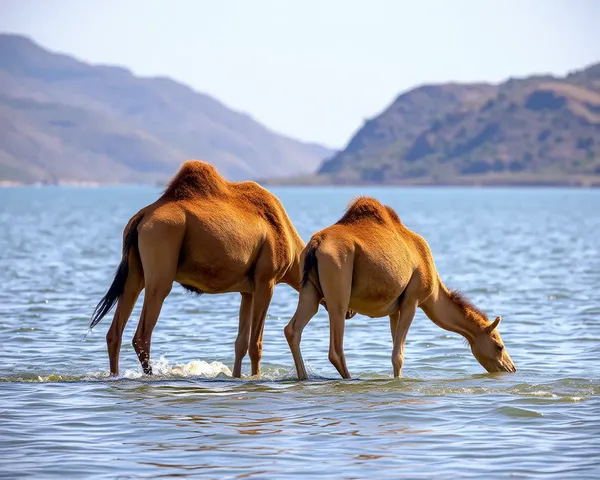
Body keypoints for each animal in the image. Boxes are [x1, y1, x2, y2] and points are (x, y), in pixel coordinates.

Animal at [89, 161, 308, 378]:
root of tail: (141, 218)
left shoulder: (247, 291)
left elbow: (241, 344)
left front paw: (237, 377)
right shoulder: (266, 280)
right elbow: (256, 344)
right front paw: (256, 378)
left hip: (134, 273)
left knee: (114, 333)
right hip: (160, 264)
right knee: (142, 335)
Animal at [284, 195, 516, 378]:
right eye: (499, 345)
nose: (511, 368)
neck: (434, 290)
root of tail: (316, 243)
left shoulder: (394, 310)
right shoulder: (412, 301)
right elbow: (398, 355)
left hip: (310, 290)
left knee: (293, 329)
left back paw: (304, 378)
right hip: (338, 291)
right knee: (336, 349)